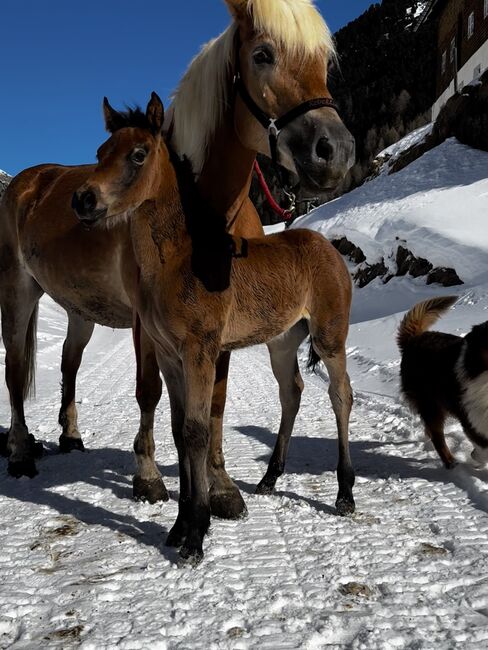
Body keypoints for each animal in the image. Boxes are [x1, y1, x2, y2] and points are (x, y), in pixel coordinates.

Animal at [0, 0, 352, 512]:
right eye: (263, 55)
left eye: (324, 62)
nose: (335, 152)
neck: (200, 219)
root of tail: (29, 181)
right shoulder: (147, 324)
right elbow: (149, 393)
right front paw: (148, 477)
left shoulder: (217, 333)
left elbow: (215, 405)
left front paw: (221, 486)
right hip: (18, 291)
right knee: (14, 370)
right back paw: (21, 452)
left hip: (79, 311)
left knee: (69, 363)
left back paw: (69, 436)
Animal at [398, 296, 486, 468]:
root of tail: (414, 339)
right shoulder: (472, 418)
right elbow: (483, 449)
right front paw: (475, 457)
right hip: (429, 404)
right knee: (437, 437)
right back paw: (450, 462)